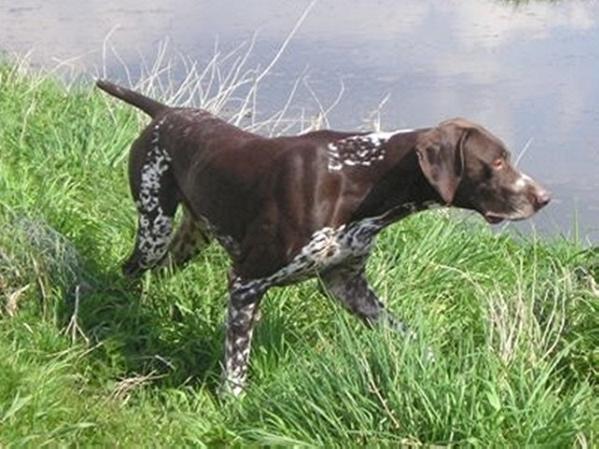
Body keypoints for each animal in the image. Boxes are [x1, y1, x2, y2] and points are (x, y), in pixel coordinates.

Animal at [96, 80, 552, 396]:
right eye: (496, 161)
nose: (544, 198)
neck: (359, 178)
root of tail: (166, 113)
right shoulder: (246, 283)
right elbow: (236, 363)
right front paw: (233, 404)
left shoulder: (346, 285)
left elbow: (404, 331)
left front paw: (433, 361)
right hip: (154, 228)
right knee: (130, 269)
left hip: (191, 238)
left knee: (157, 272)